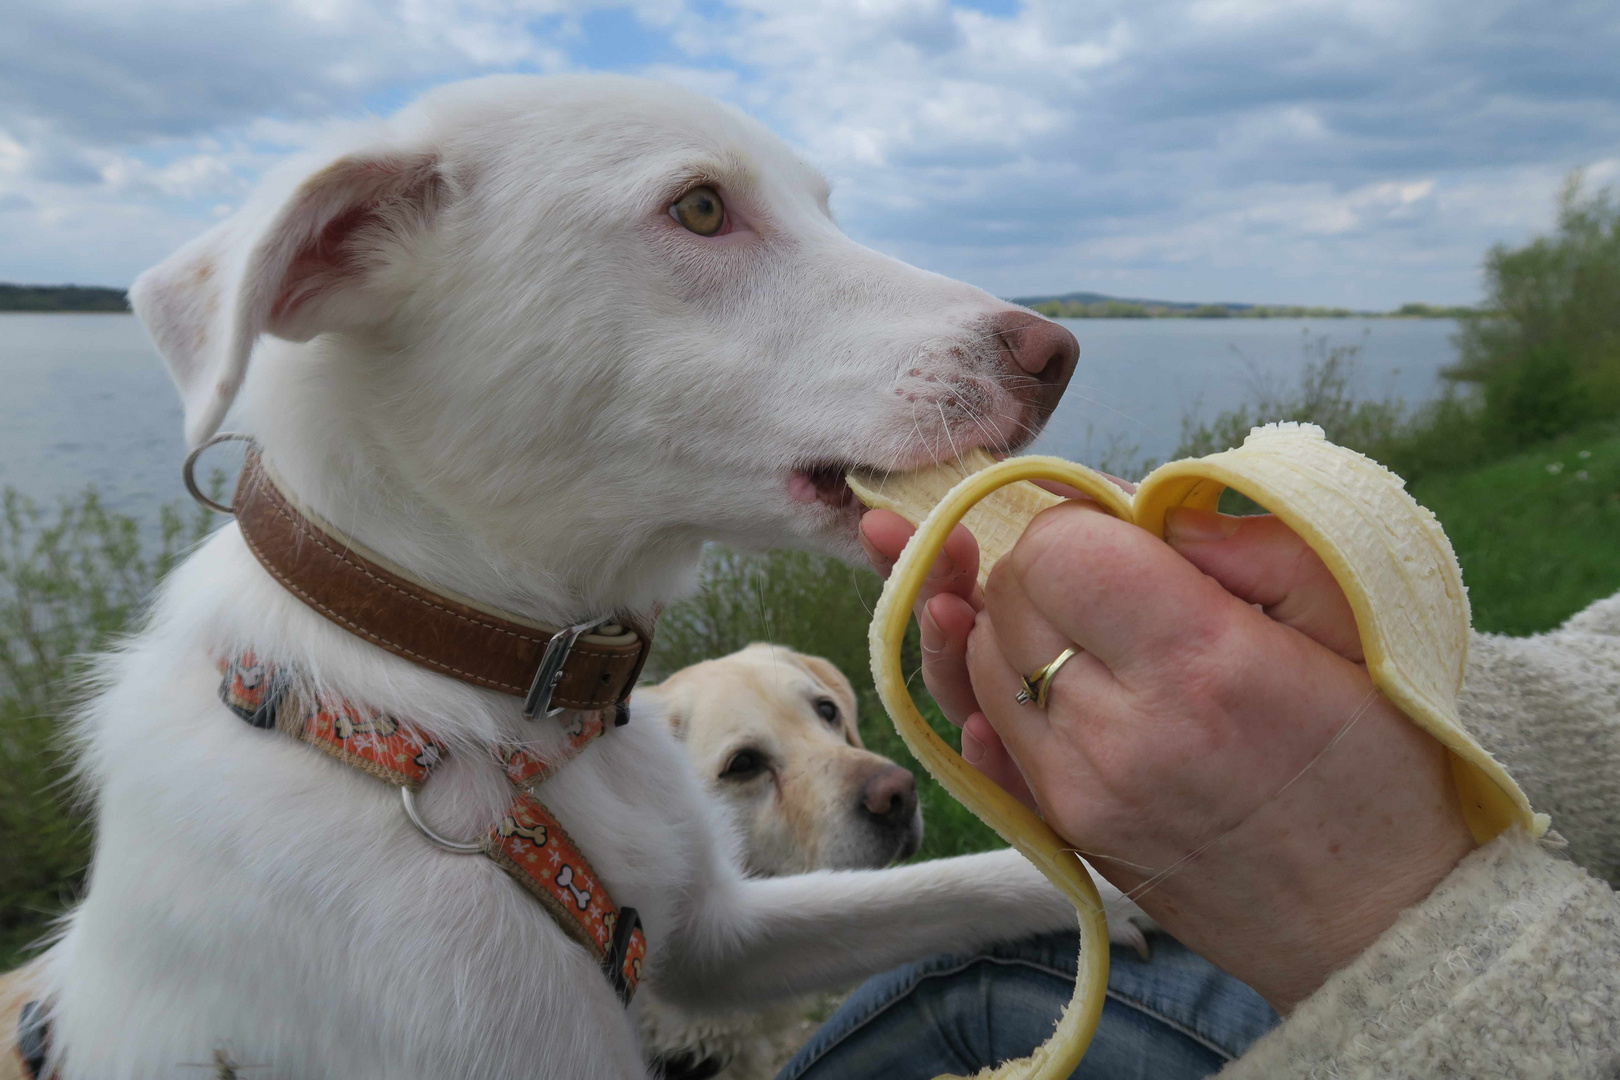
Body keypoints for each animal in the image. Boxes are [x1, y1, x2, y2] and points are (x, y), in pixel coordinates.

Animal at [25, 78, 1121, 1080]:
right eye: (702, 208)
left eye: (824, 206)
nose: (1061, 352)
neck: (495, 711)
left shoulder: (717, 942)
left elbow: (945, 887)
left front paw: (1130, 895)